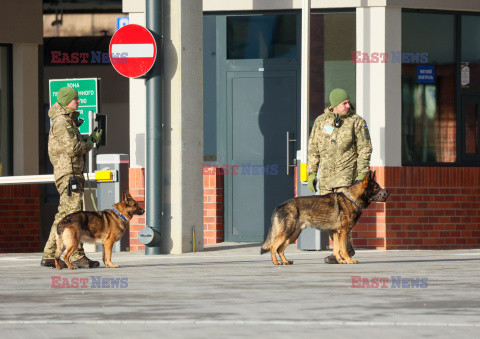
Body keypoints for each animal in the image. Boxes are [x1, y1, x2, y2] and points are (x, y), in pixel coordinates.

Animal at [260, 173, 388, 266]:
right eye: (376, 187)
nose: (388, 192)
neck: (352, 198)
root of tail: (279, 206)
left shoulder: (336, 233)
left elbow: (337, 249)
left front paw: (340, 261)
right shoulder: (344, 232)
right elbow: (343, 249)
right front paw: (348, 261)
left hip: (293, 235)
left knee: (280, 249)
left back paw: (286, 261)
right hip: (287, 233)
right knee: (273, 247)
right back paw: (276, 262)